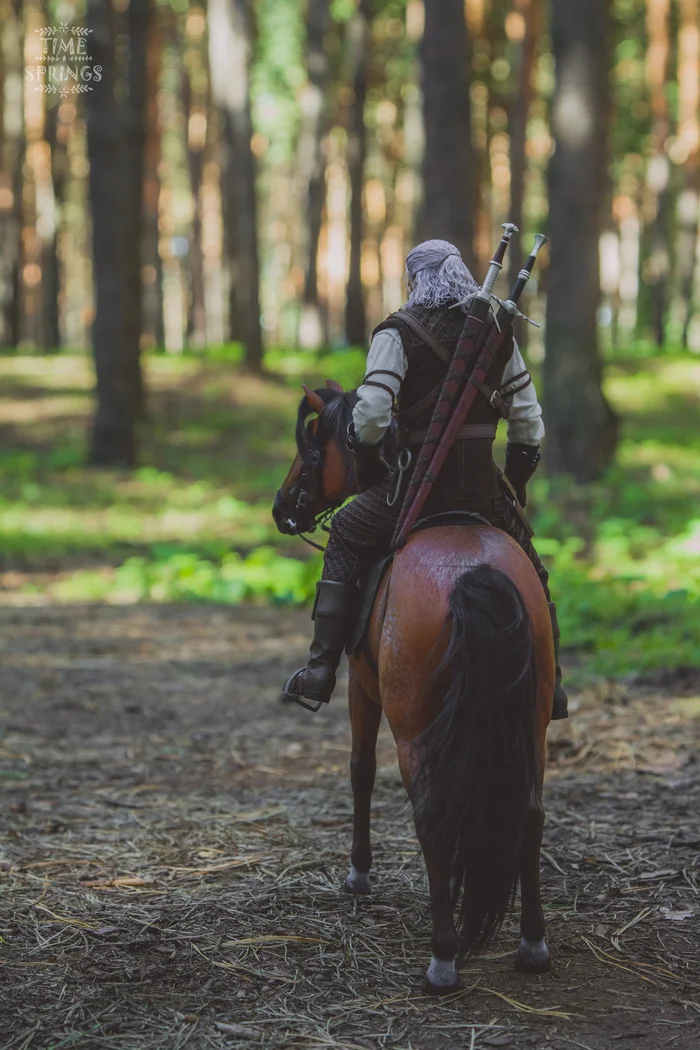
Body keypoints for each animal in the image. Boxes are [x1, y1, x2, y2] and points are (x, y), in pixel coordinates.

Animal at [270, 380, 554, 991]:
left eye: (315, 442)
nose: (282, 506)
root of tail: (473, 574)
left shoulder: (360, 688)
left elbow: (359, 771)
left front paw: (358, 873)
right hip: (533, 726)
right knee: (530, 812)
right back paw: (532, 943)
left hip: (414, 729)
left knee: (432, 815)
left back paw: (443, 955)